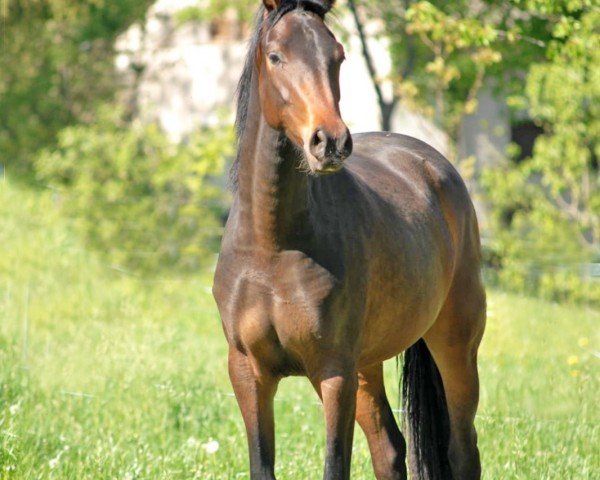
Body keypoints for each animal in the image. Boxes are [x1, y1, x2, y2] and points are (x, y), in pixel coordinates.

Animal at [213, 1, 486, 478]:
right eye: (276, 56)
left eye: (337, 55)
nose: (330, 141)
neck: (272, 247)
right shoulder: (248, 372)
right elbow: (262, 463)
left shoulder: (333, 372)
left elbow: (334, 463)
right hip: (367, 366)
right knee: (390, 450)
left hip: (454, 346)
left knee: (462, 451)